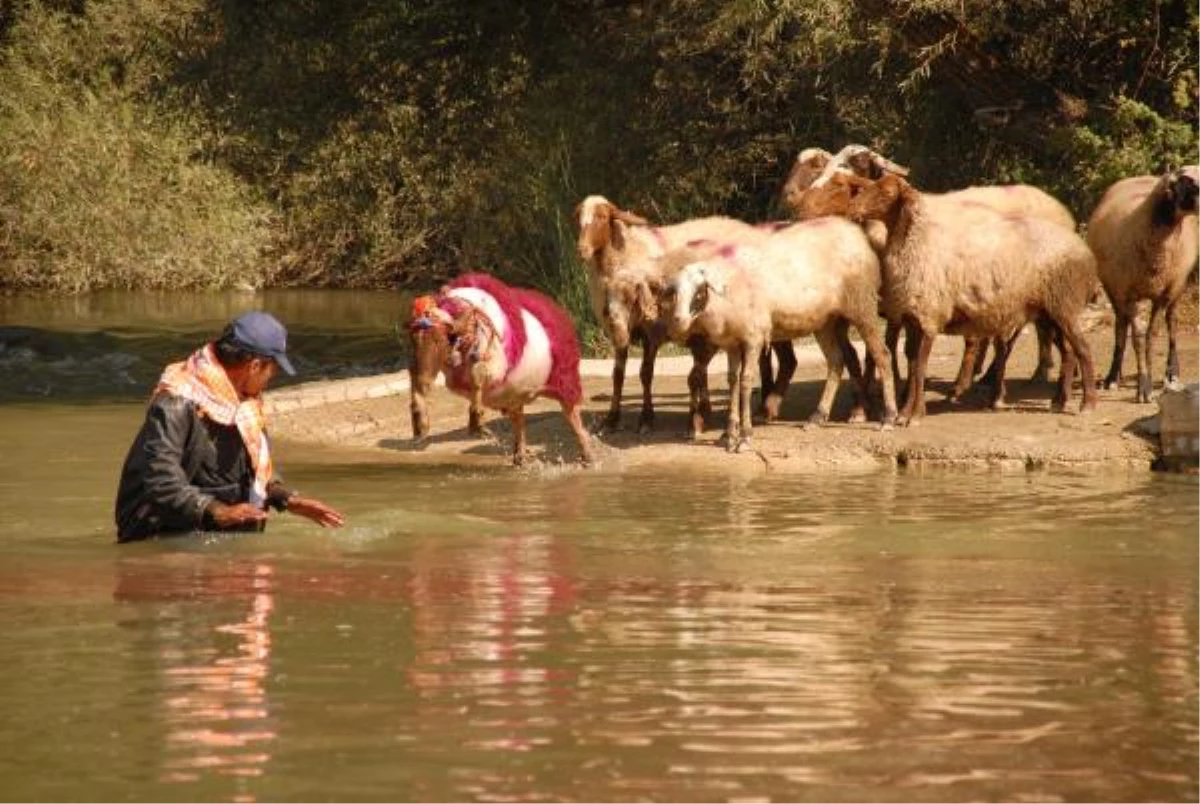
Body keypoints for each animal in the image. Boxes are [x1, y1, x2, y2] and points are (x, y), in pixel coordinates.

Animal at [405, 273, 592, 470]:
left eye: (440, 339)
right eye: (413, 339)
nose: (424, 380)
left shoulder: (492, 368)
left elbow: (477, 377)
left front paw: (477, 423)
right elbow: (418, 392)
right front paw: (420, 426)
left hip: (565, 382)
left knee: (574, 418)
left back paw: (587, 455)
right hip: (515, 397)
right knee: (519, 423)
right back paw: (520, 457)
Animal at [576, 196, 801, 441]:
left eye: (601, 216)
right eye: (577, 217)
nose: (581, 249)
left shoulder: (654, 334)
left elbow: (650, 374)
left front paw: (651, 419)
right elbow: (618, 374)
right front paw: (611, 419)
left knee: (783, 360)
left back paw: (768, 406)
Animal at [662, 213, 897, 453]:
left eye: (699, 291)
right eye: (675, 292)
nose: (678, 322)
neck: (729, 290)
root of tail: (857, 234)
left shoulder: (754, 338)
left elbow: (746, 381)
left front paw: (745, 436)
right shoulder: (731, 343)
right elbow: (733, 382)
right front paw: (728, 435)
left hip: (862, 305)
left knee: (882, 355)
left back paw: (888, 417)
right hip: (825, 321)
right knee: (836, 361)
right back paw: (817, 416)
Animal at [840, 175, 1099, 427]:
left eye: (887, 193)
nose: (852, 210)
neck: (919, 245)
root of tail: (1083, 248)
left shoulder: (930, 318)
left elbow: (920, 367)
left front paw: (914, 415)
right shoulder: (913, 319)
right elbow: (913, 367)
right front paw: (905, 413)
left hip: (1065, 304)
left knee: (1083, 349)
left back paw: (1087, 405)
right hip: (1050, 311)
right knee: (1069, 352)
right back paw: (1058, 400)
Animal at [1089, 165, 1200, 403]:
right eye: (1188, 181)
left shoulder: (1161, 294)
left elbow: (1152, 335)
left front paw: (1148, 383)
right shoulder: (1128, 292)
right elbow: (1138, 338)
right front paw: (1143, 386)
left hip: (1178, 284)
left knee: (1172, 322)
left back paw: (1172, 372)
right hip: (1114, 288)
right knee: (1120, 324)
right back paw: (1113, 376)